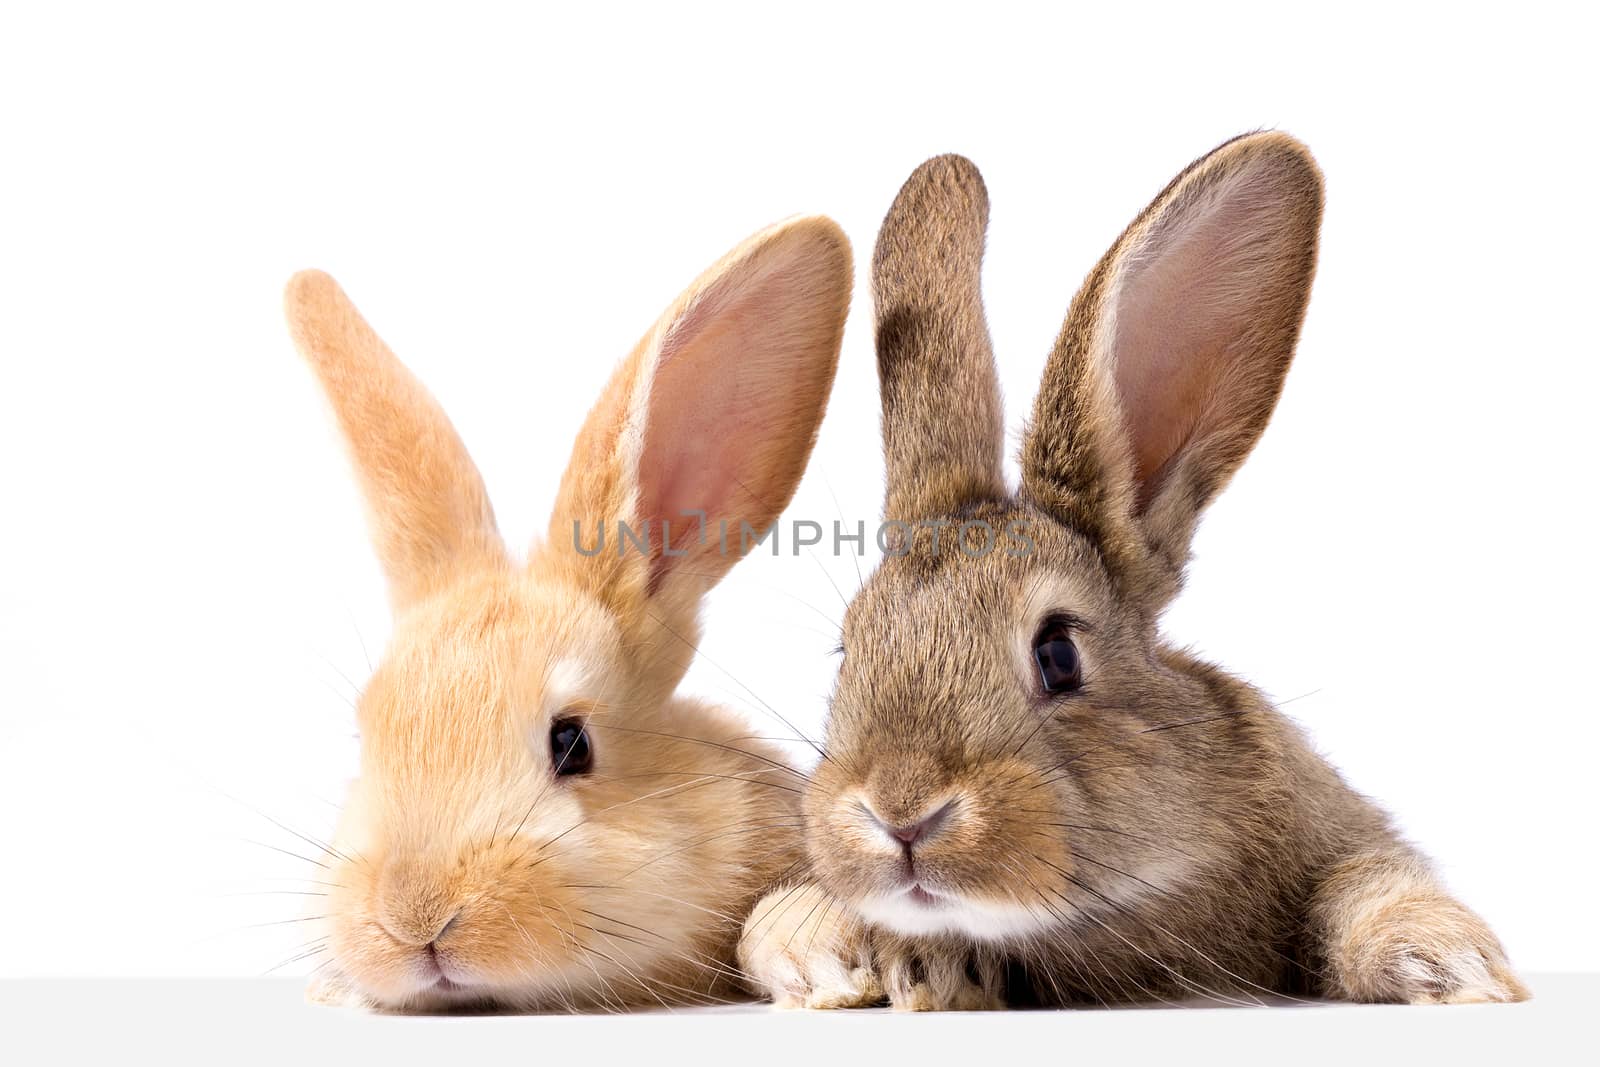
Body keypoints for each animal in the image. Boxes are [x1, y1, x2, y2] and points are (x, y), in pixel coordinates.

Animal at [736, 133, 1523, 1011]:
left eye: (1058, 652)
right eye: (848, 651)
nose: (901, 814)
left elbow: (1368, 882)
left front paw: (1448, 963)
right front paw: (867, 962)